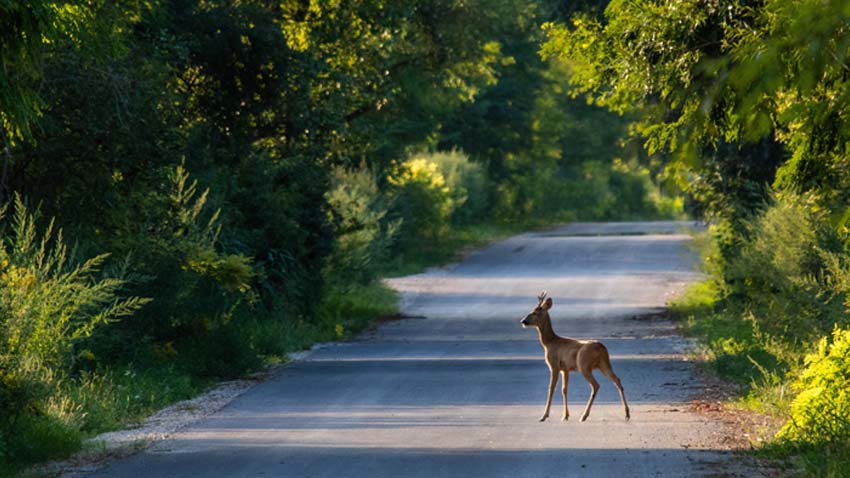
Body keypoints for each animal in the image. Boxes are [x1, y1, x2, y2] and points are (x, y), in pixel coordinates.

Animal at [516, 292, 628, 422]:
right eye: (531, 310)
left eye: (535, 312)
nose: (523, 321)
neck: (550, 343)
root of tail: (601, 348)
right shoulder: (565, 369)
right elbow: (564, 390)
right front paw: (565, 415)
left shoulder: (554, 365)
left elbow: (551, 388)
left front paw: (544, 416)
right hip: (604, 364)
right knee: (617, 380)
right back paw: (627, 414)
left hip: (584, 365)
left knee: (596, 385)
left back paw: (584, 416)